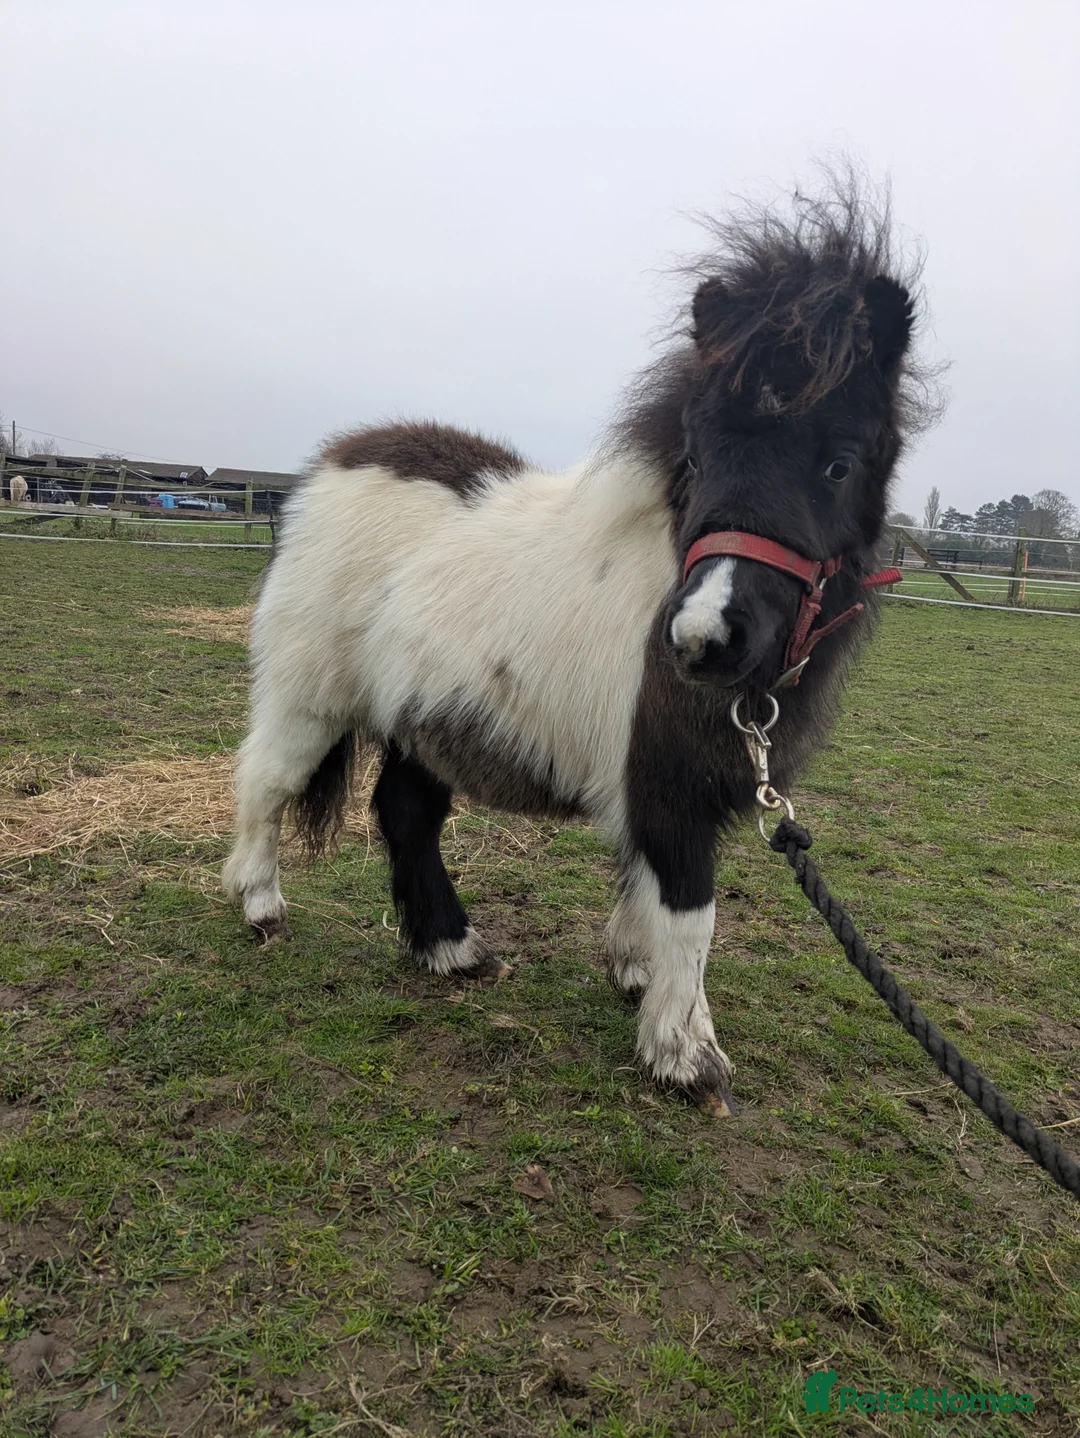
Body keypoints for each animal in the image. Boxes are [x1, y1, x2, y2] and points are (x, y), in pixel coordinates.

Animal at [223, 180, 930, 1115]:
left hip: (423, 717)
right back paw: (261, 906)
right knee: (266, 783)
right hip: (309, 697)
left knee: (406, 815)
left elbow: (644, 892)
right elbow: (691, 914)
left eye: (840, 463)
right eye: (696, 456)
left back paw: (453, 950)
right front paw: (686, 1055)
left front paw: (636, 978)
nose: (703, 638)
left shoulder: (671, 786)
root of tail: (328, 470)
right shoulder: (665, 786)